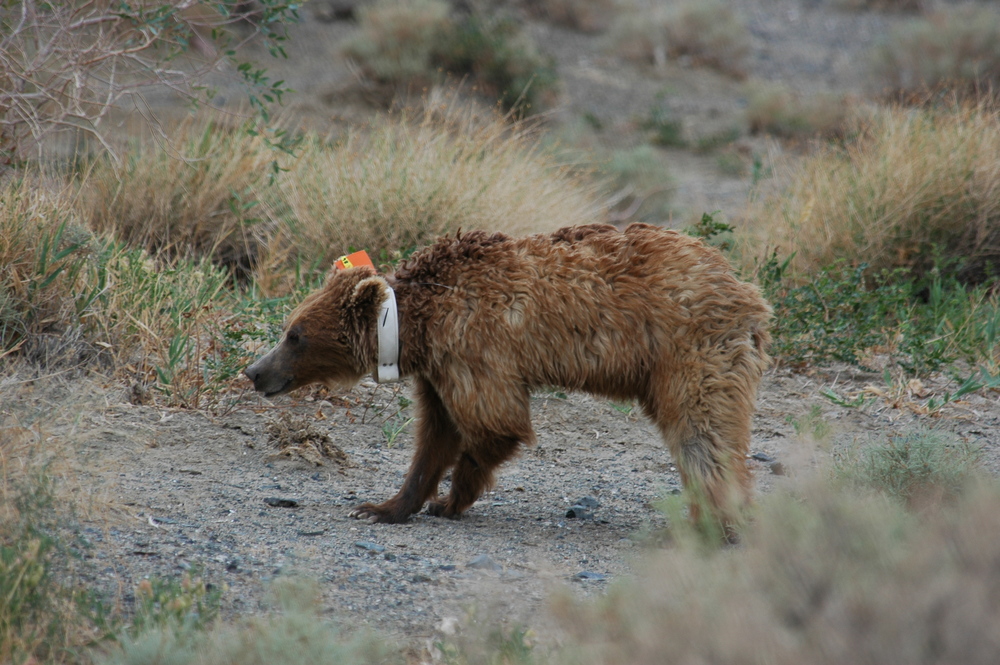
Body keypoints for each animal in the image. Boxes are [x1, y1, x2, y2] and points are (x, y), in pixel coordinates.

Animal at [244, 223, 772, 536]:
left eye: (294, 334)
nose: (254, 371)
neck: (416, 325)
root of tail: (745, 287)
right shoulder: (439, 371)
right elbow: (434, 437)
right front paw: (388, 504)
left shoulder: (476, 347)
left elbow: (495, 424)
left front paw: (450, 497)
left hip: (688, 350)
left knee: (703, 434)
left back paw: (720, 522)